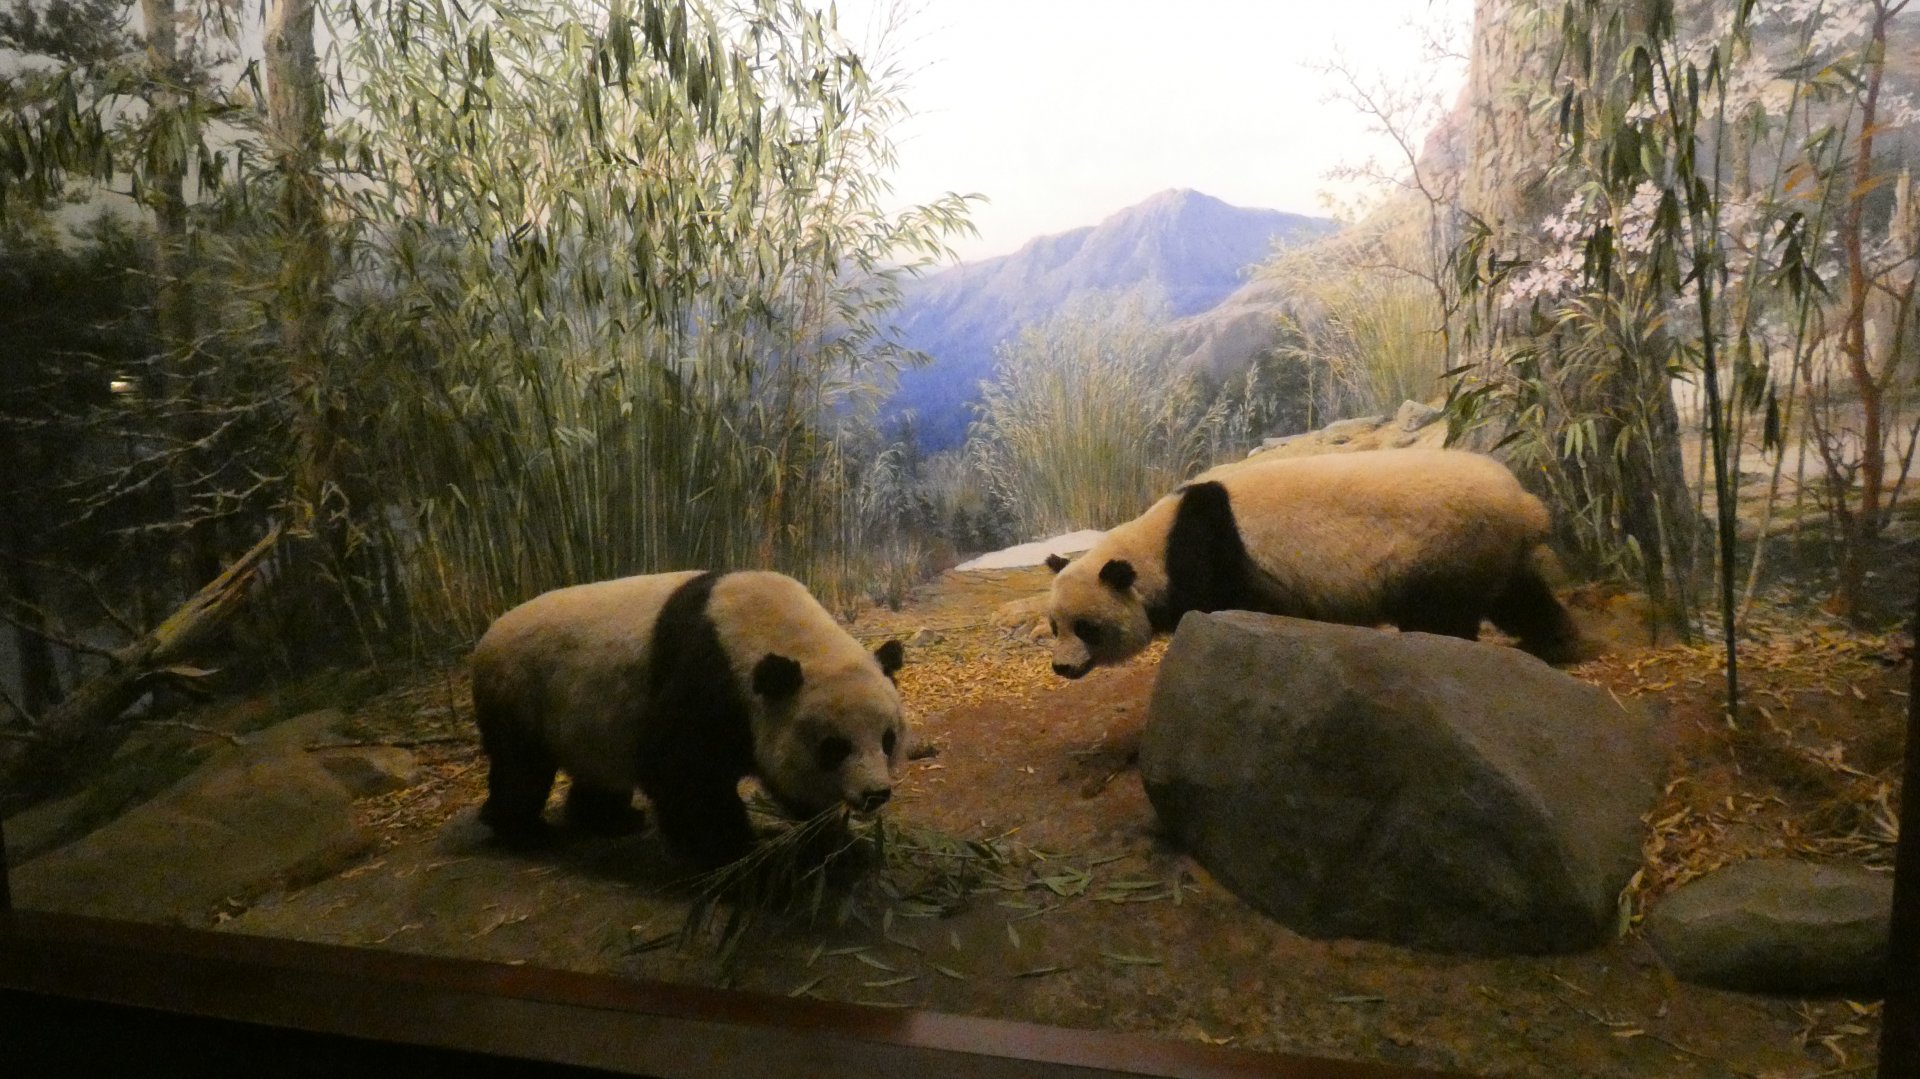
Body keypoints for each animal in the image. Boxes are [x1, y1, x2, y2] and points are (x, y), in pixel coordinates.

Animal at [470, 570, 907, 866]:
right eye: (834, 747)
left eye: (887, 739)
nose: (875, 793)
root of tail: (487, 636)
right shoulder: (709, 678)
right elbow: (680, 769)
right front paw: (735, 854)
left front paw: (840, 848)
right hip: (519, 688)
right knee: (521, 767)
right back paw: (523, 831)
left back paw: (610, 819)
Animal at [1042, 448, 1587, 678]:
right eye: (1054, 626)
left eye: (1087, 627)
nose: (1062, 668)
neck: (1152, 545)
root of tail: (1524, 504)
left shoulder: (1210, 555)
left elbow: (1226, 607)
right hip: (1491, 552)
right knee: (1518, 594)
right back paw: (1556, 640)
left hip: (1445, 546)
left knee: (1443, 616)